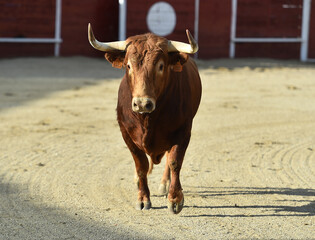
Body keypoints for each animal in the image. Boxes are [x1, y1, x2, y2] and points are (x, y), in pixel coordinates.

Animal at [89, 24, 202, 215]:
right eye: (128, 65)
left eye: (161, 66)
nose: (142, 103)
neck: (148, 119)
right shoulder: (126, 133)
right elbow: (140, 165)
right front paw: (143, 199)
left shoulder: (183, 131)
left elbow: (174, 162)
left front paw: (175, 199)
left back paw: (164, 184)